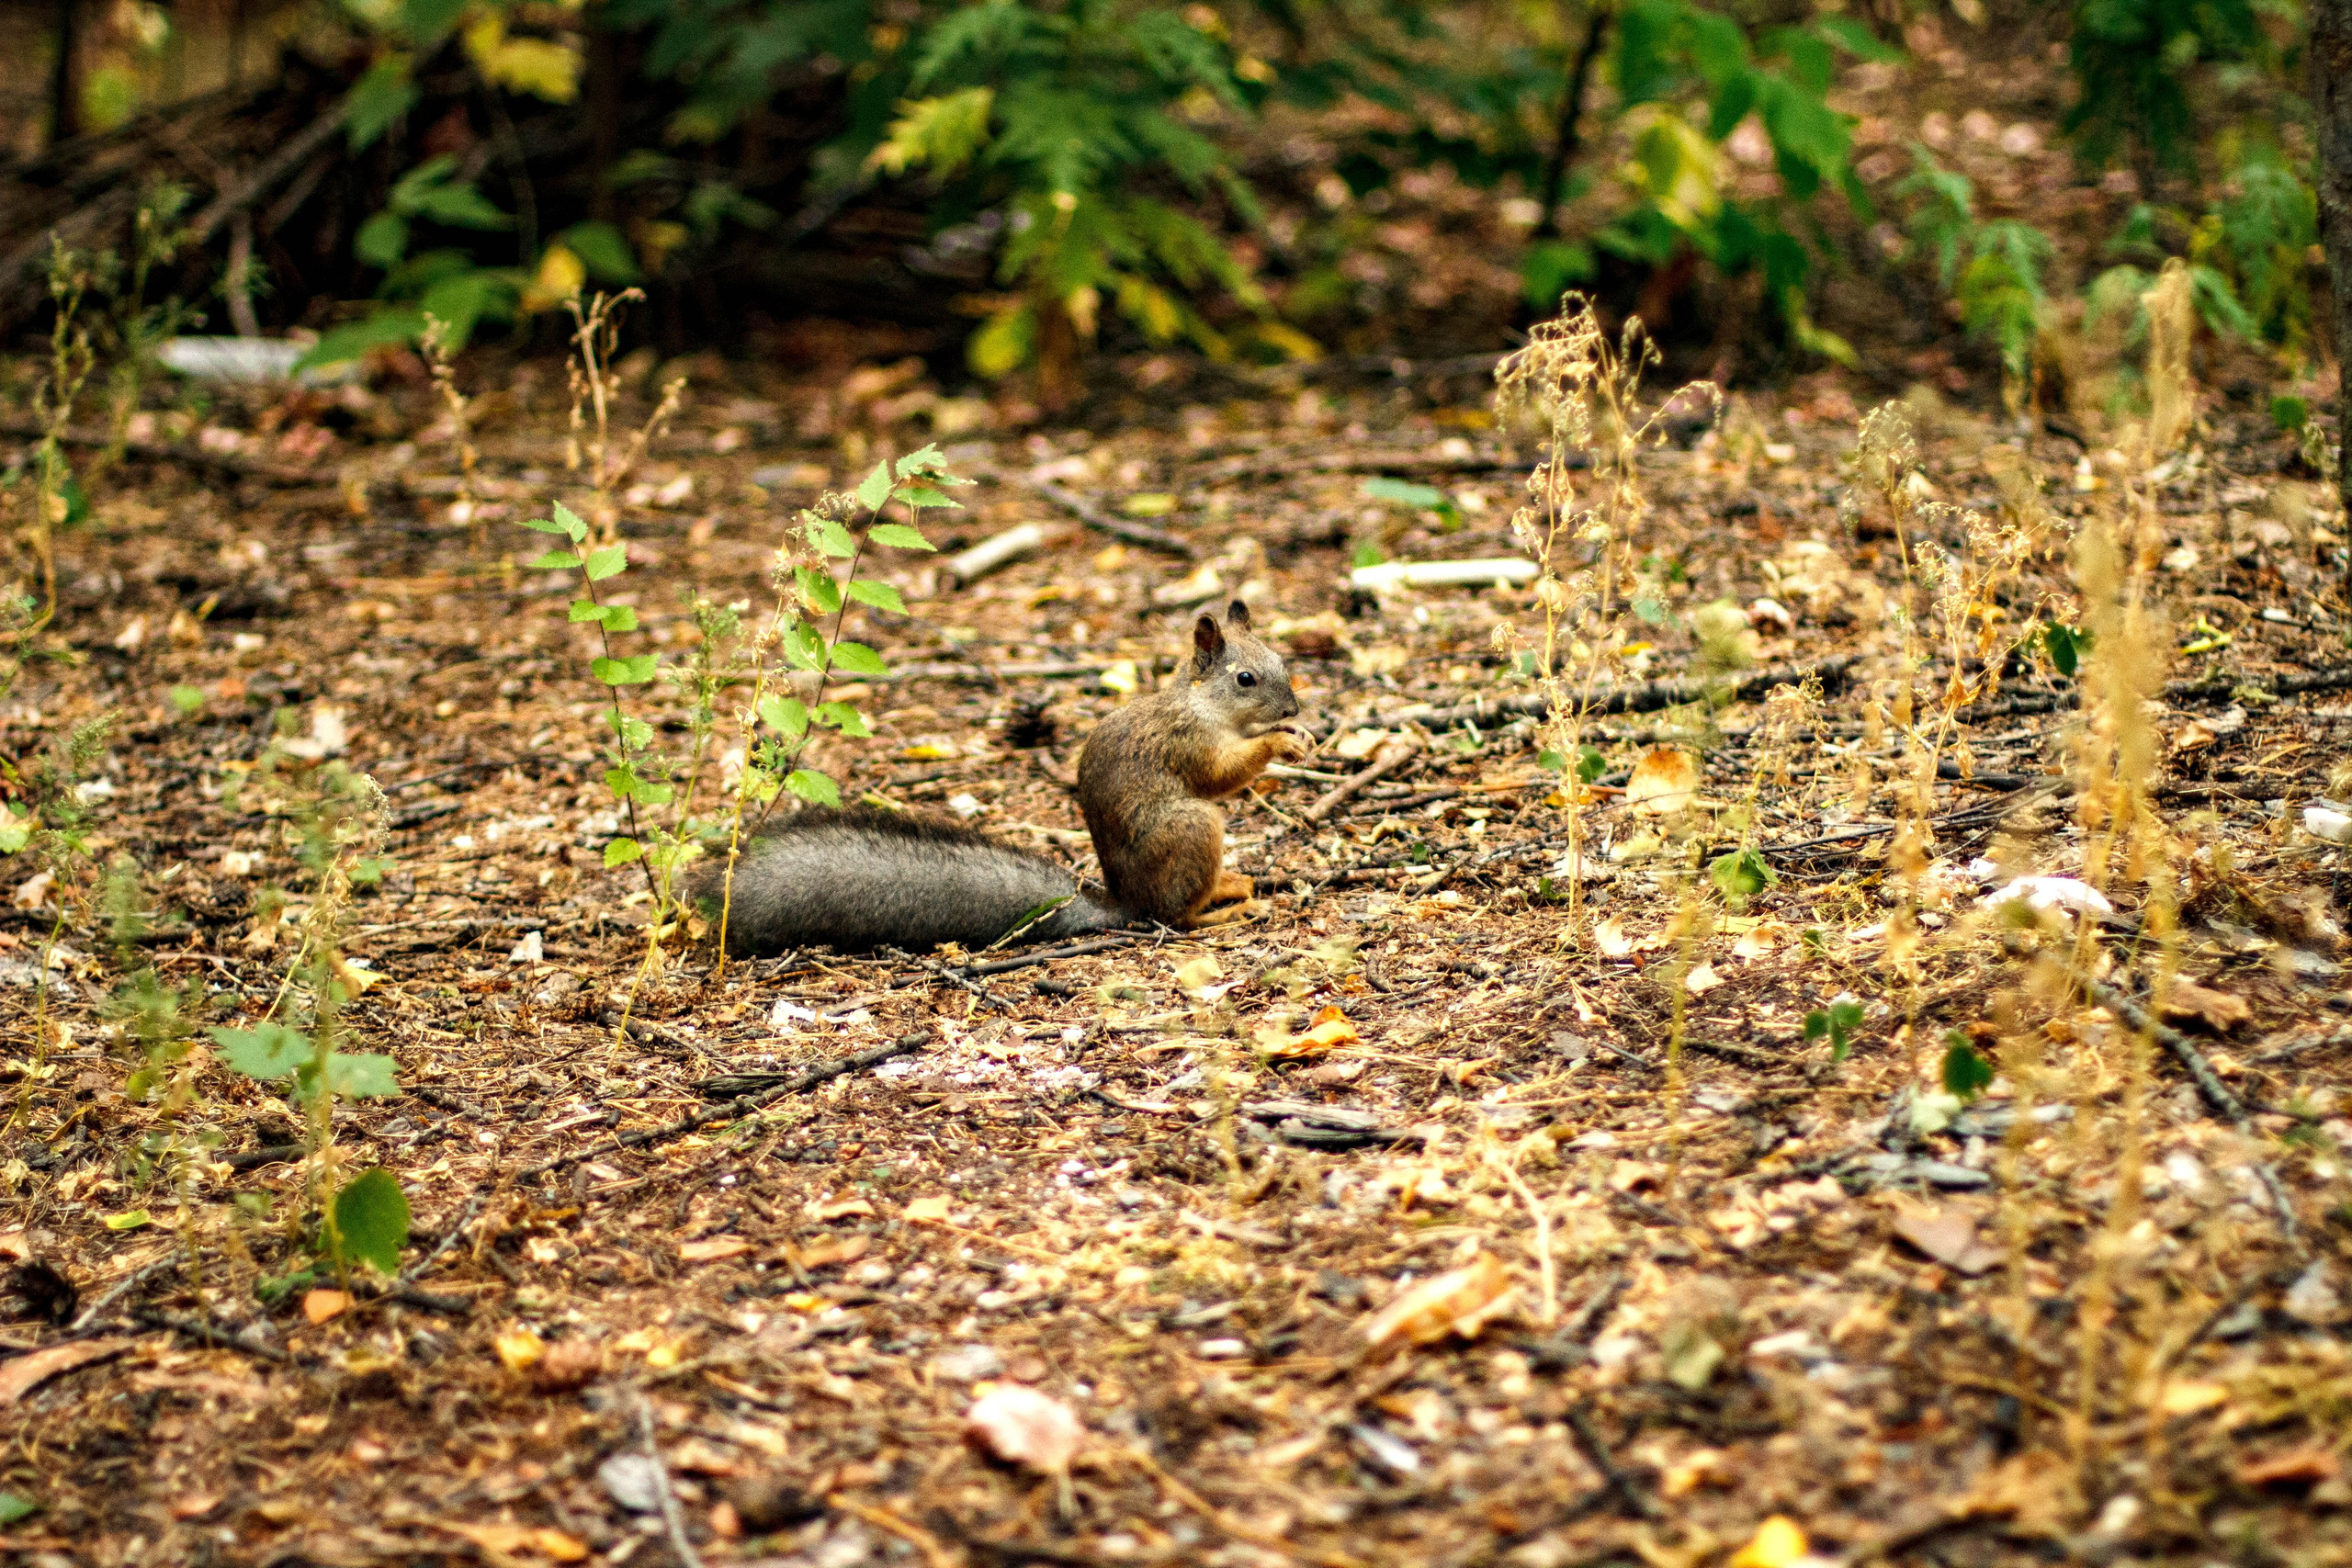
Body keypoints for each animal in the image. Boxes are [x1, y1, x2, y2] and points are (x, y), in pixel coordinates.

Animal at [690, 599, 1306, 954]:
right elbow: (1221, 773)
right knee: (1178, 918)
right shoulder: (1186, 743)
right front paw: (1279, 741)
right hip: (1191, 829)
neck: (1201, 705)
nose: (1293, 708)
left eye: (1282, 660)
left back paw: (1233, 885)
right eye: (1246, 679)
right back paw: (1231, 912)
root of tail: (1127, 901)